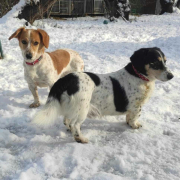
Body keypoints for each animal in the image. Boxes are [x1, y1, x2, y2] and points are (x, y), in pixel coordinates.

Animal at [33, 47, 174, 143]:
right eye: (155, 62)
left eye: (165, 61)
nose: (171, 76)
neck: (139, 76)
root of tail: (65, 80)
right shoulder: (136, 106)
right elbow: (134, 117)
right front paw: (134, 126)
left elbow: (128, 117)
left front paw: (128, 123)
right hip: (82, 108)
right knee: (75, 125)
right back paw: (81, 139)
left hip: (72, 108)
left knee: (66, 121)